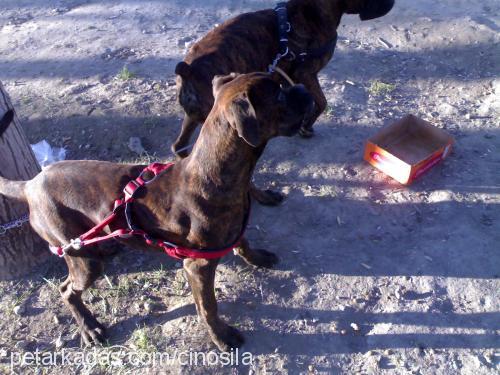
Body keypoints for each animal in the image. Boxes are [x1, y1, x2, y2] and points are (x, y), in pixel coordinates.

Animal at [0, 74, 312, 352]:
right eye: (279, 94)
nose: (303, 88)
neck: (216, 175)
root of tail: (29, 184)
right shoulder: (197, 267)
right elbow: (208, 307)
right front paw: (221, 336)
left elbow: (242, 241)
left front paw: (256, 257)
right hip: (80, 258)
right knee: (67, 290)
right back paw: (90, 327)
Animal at [172, 0, 394, 159]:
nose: (392, 2)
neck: (315, 10)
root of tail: (189, 70)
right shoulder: (307, 75)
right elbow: (322, 102)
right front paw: (306, 127)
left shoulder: (289, 79)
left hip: (194, 115)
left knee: (179, 146)